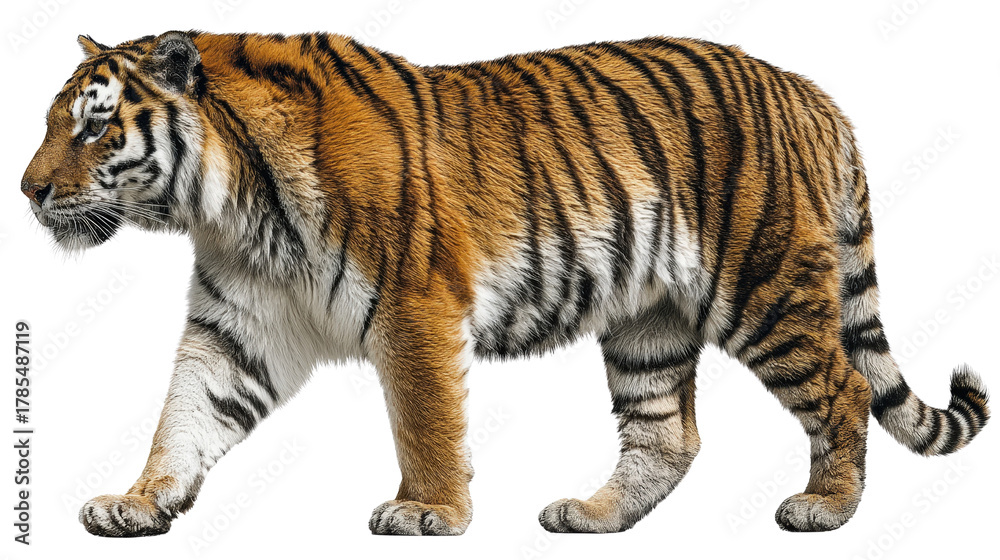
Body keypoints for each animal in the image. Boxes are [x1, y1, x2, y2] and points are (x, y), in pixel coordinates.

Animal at [21, 31, 989, 537]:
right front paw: (137, 501)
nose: (27, 191)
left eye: (96, 128)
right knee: (667, 436)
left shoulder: (412, 304)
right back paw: (592, 516)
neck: (227, 205)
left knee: (844, 387)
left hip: (766, 285)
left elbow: (425, 422)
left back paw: (825, 507)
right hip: (649, 321)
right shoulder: (237, 324)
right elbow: (184, 415)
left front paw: (426, 513)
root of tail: (810, 91)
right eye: (54, 123)